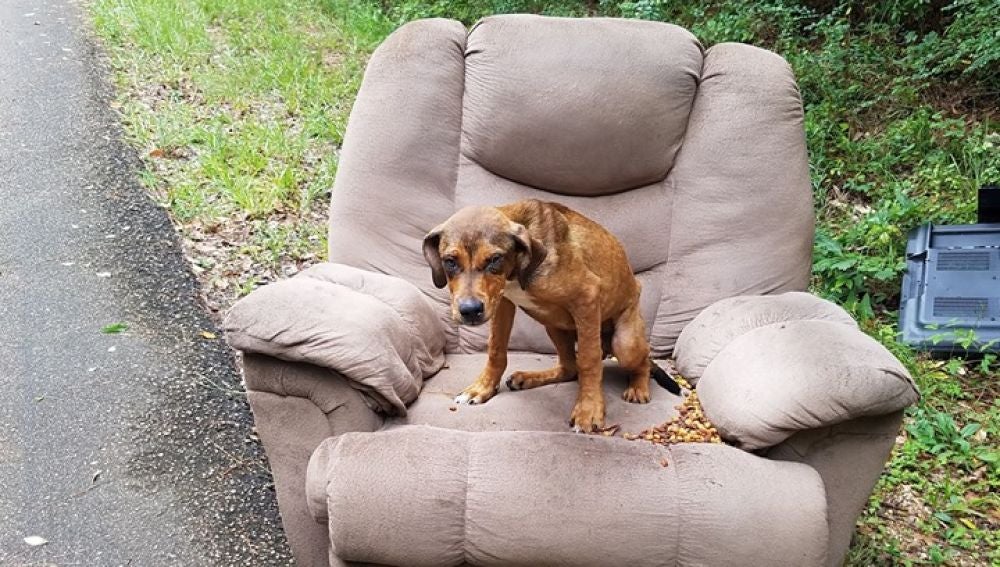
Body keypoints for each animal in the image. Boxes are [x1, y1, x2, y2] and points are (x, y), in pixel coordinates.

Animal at [422, 197, 680, 432]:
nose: (470, 311)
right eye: (450, 261)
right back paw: (528, 378)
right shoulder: (502, 302)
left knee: (641, 361)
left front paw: (589, 410)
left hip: (625, 343)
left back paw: (638, 387)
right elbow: (496, 349)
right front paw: (482, 388)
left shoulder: (587, 296)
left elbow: (589, 360)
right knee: (568, 368)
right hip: (553, 326)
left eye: (495, 259)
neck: (517, 270)